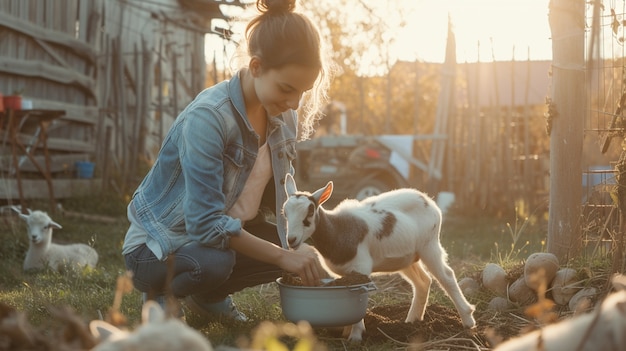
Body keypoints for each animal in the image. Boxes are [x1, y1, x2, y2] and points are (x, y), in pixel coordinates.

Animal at [282, 175, 472, 342]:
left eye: (310, 212)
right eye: (285, 213)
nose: (291, 240)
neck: (338, 230)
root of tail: (429, 201)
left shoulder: (361, 268)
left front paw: (355, 337)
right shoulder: (344, 275)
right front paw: (346, 331)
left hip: (429, 245)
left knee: (447, 277)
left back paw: (468, 320)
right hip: (407, 257)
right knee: (423, 282)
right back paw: (412, 322)